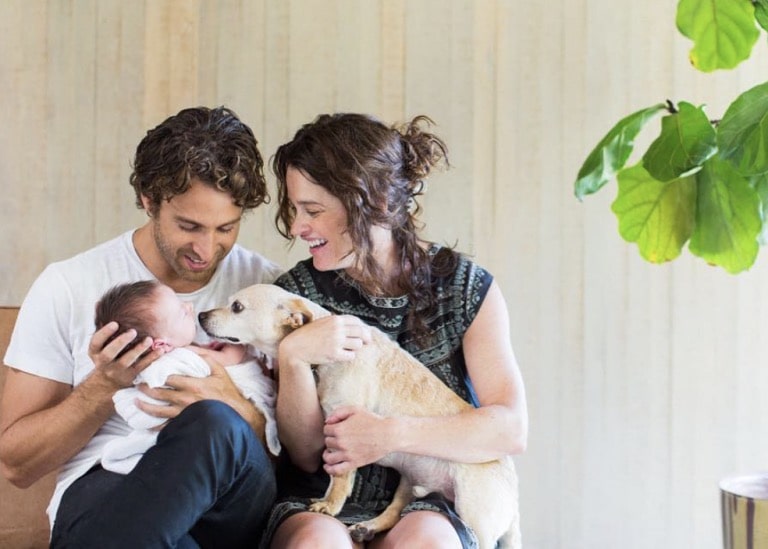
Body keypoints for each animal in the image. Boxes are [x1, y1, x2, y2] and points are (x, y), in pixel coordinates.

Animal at [198, 282, 520, 548]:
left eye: (237, 307)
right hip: (408, 483)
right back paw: (367, 527)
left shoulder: (344, 431)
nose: (200, 315)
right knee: (393, 512)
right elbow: (333, 478)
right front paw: (327, 502)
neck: (332, 354)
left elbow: (341, 479)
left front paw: (330, 506)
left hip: (474, 517)